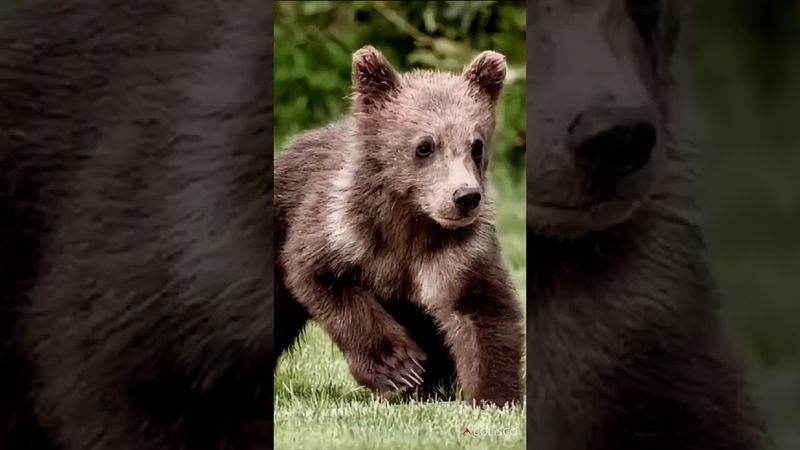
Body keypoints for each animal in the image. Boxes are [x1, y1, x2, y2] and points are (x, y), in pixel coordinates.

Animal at [274, 46, 524, 406]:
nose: (465, 196)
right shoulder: (341, 230)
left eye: (476, 145)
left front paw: (495, 395)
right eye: (424, 146)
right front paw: (399, 369)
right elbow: (321, 278)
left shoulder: (459, 254)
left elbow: (483, 309)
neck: (411, 222)